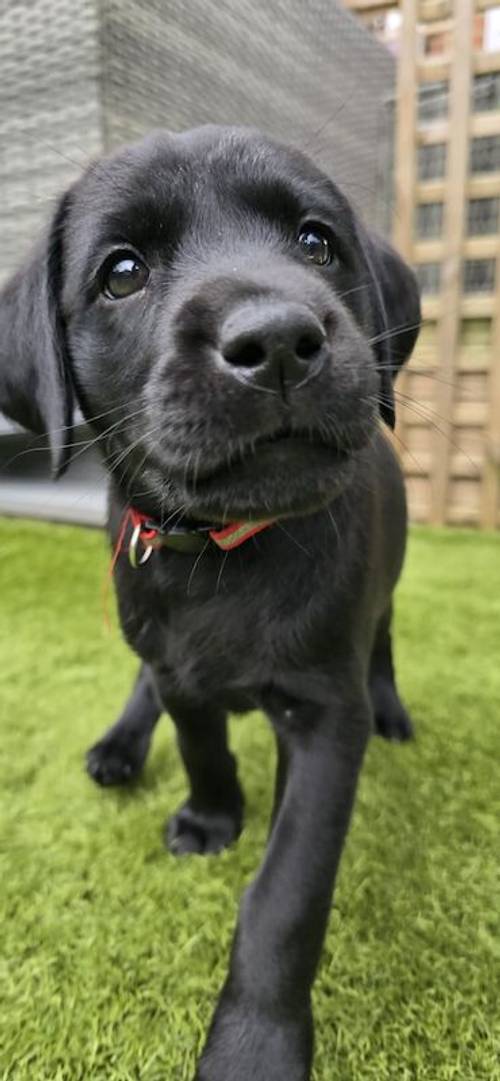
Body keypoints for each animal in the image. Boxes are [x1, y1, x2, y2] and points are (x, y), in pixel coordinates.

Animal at [0, 128, 421, 1081]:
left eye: (316, 243)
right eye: (122, 271)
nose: (279, 339)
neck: (226, 554)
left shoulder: (325, 714)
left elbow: (284, 899)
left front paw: (253, 1048)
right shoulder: (176, 659)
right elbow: (198, 740)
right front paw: (212, 815)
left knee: (382, 642)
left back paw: (394, 707)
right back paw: (120, 745)